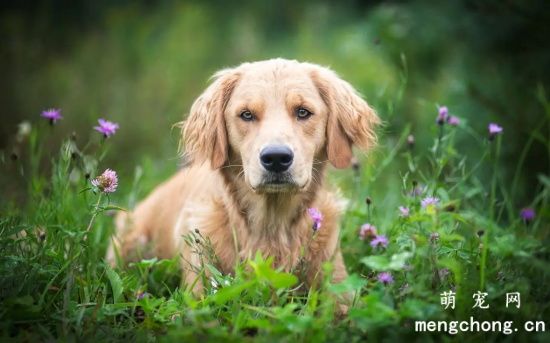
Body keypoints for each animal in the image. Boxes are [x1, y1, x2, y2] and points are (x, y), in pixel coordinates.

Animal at [108, 59, 382, 300]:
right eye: (246, 115)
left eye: (303, 112)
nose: (276, 158)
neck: (271, 226)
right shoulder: (200, 289)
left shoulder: (338, 284)